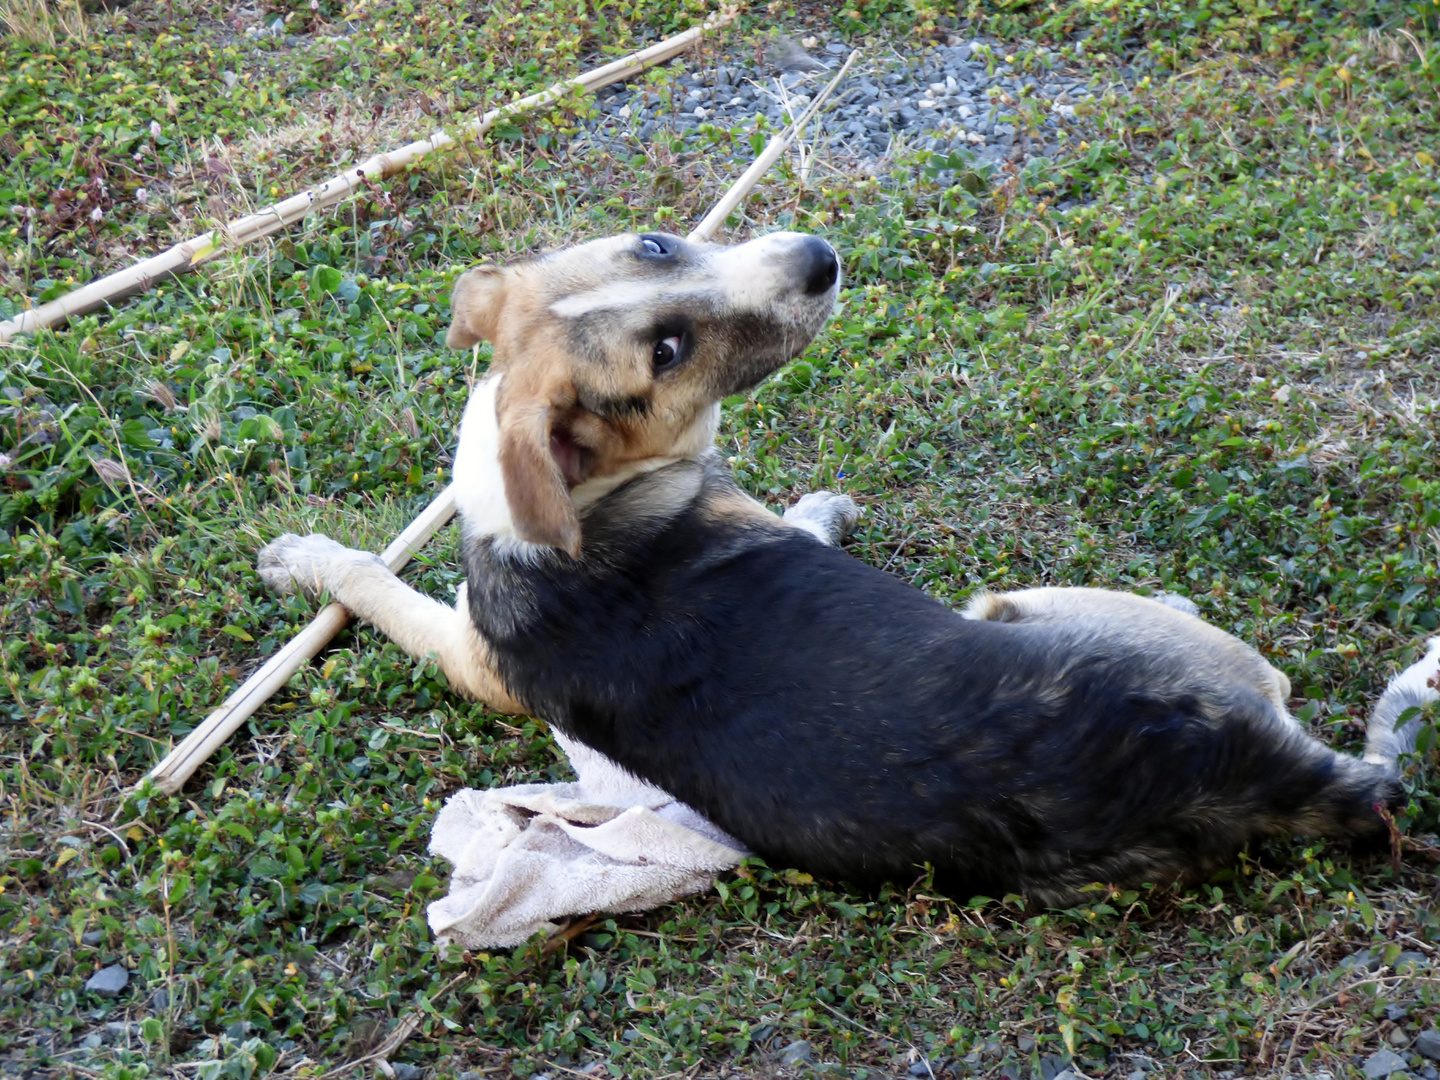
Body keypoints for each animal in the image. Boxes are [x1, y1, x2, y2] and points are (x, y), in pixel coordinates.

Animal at [259, 230, 1440, 904]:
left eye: (657, 242)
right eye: (669, 355)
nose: (820, 255)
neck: (580, 503)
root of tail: (1247, 769)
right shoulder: (470, 656)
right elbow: (377, 583)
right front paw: (305, 557)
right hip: (1033, 608)